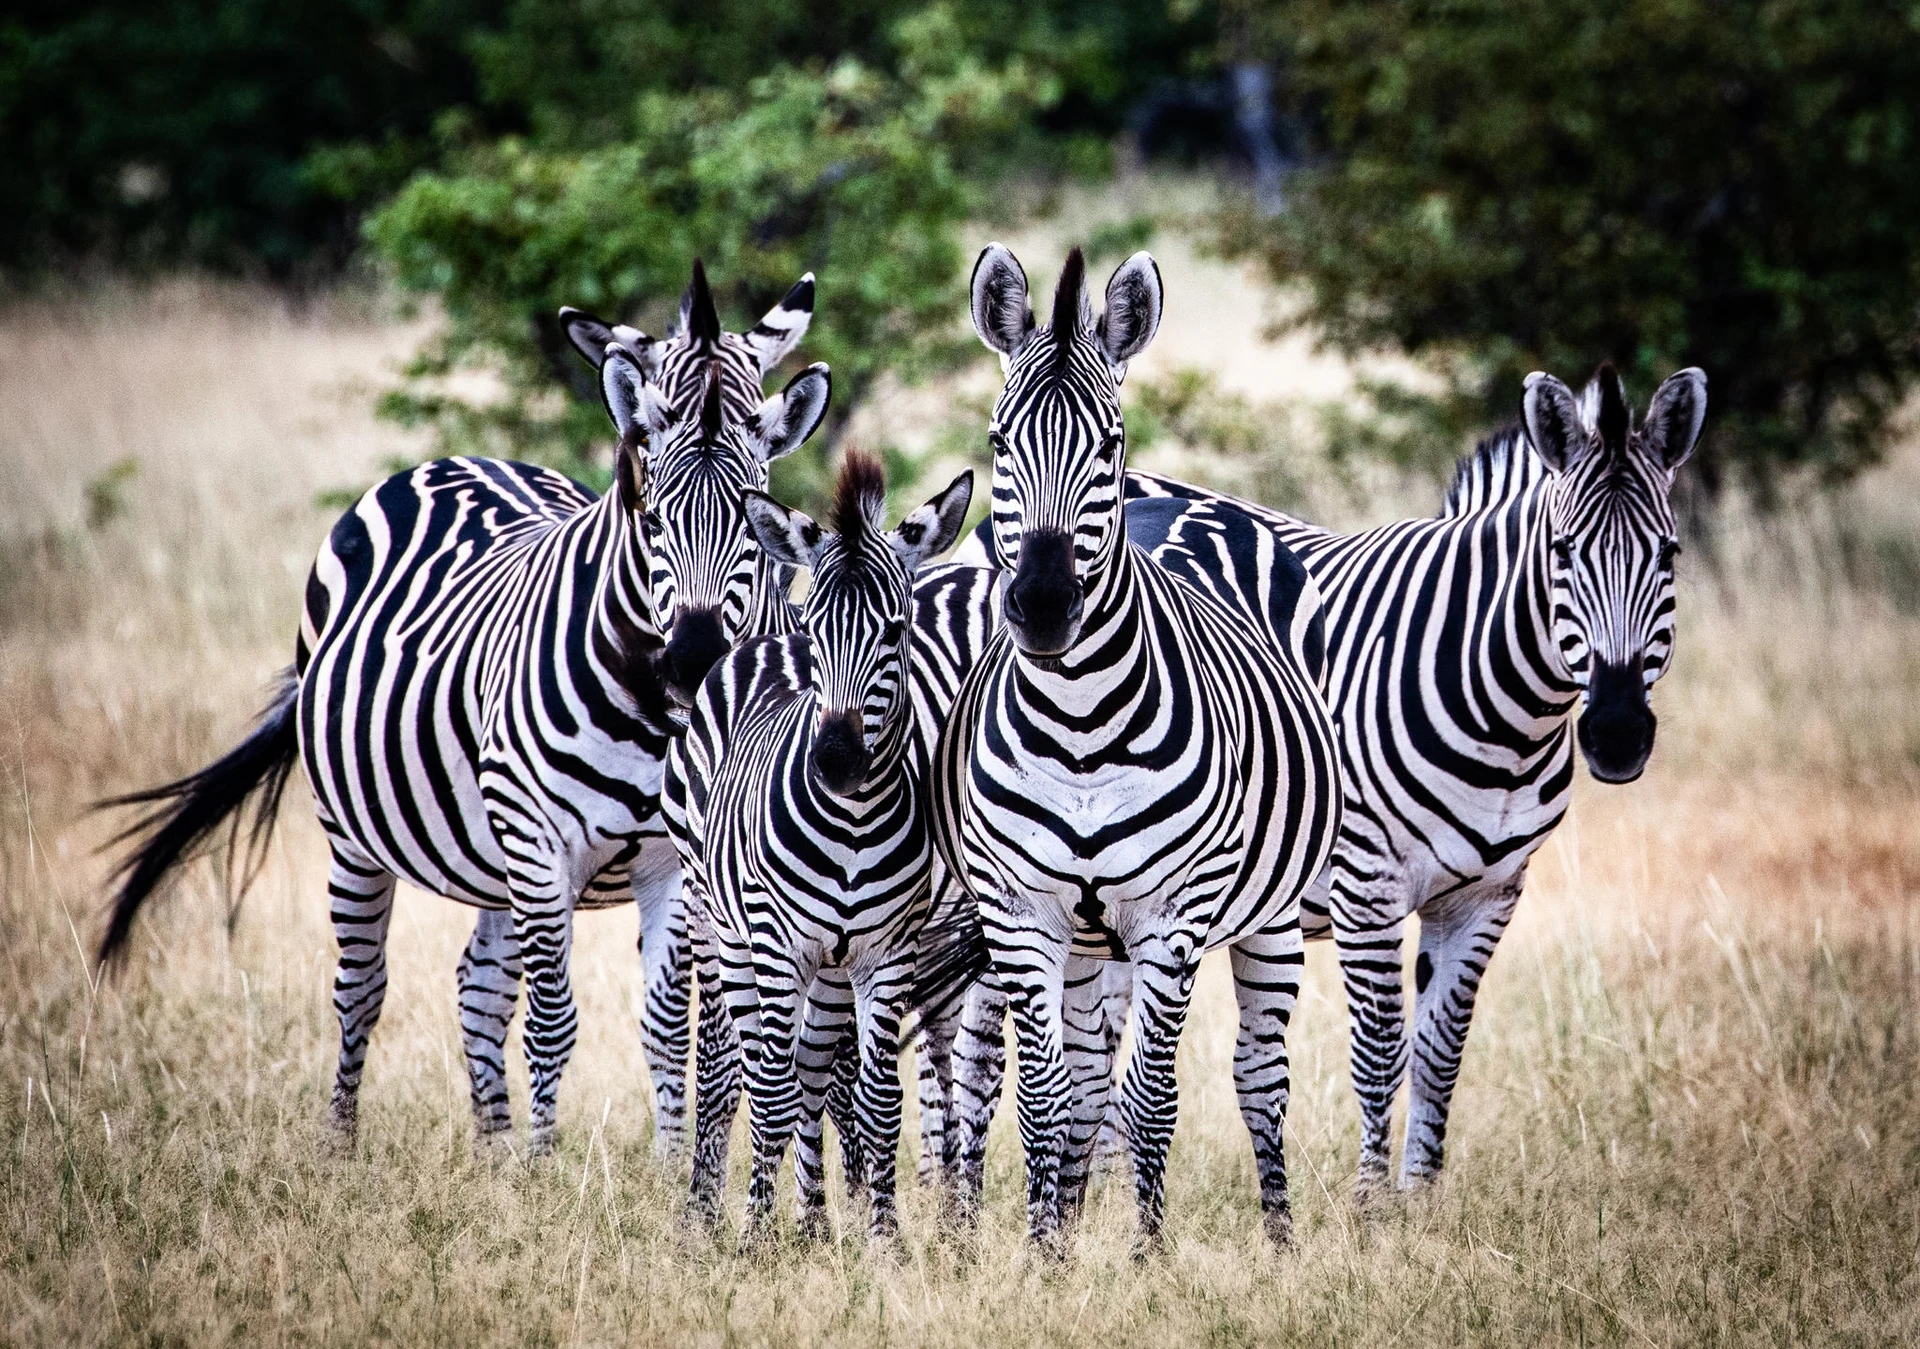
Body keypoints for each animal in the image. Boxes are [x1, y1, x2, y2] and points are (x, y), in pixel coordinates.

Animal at [95, 264, 830, 1159]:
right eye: (649, 512)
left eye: (756, 525)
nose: (692, 661)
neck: (654, 715)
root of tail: (458, 460)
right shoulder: (540, 838)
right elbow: (554, 1020)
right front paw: (550, 1166)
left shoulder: (672, 861)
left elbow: (665, 1026)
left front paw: (660, 1168)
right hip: (360, 835)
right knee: (362, 986)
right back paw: (345, 1145)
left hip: (495, 857)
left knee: (477, 984)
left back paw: (493, 1149)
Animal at [668, 451, 973, 1238]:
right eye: (817, 629)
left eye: (895, 630)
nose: (834, 762)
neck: (854, 823)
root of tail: (755, 645)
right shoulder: (779, 946)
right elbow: (771, 1096)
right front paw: (754, 1237)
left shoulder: (884, 953)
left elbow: (878, 1102)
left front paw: (883, 1238)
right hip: (720, 927)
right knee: (743, 1069)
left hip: (831, 967)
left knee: (810, 1070)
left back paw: (810, 1222)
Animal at [931, 244, 1341, 1250]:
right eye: (998, 443)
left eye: (1110, 444)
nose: (1043, 607)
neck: (1080, 723)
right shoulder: (1022, 914)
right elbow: (1048, 1100)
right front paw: (1046, 1250)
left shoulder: (1172, 919)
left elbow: (1153, 1098)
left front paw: (1148, 1254)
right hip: (1087, 943)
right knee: (1083, 1083)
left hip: (1269, 916)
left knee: (1258, 1077)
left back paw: (1280, 1239)